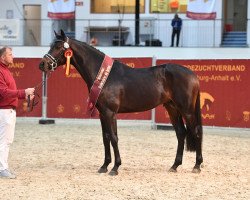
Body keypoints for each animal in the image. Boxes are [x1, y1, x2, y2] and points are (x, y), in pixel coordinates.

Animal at [39, 29, 203, 175]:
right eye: (51, 45)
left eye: (59, 47)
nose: (42, 64)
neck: (104, 76)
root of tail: (193, 74)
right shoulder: (102, 113)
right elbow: (105, 137)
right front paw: (104, 166)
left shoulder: (110, 112)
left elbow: (113, 137)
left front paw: (115, 167)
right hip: (172, 108)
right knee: (181, 133)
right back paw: (174, 166)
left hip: (187, 110)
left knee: (196, 132)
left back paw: (197, 166)